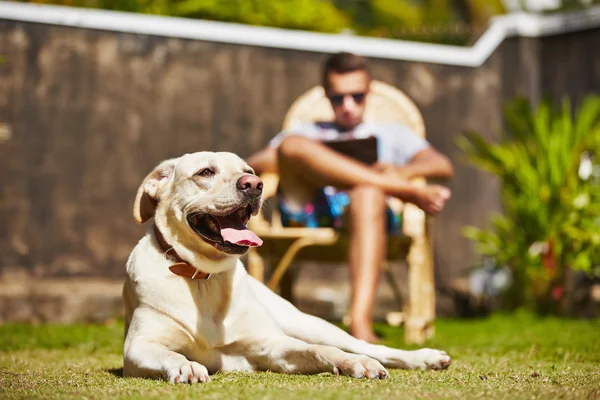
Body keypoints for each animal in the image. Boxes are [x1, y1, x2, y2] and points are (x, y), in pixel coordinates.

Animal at [122, 152, 450, 382]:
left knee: (365, 346)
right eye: (205, 172)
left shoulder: (271, 345)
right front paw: (187, 366)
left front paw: (353, 363)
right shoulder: (137, 348)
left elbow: (321, 351)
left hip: (311, 324)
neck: (204, 278)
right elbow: (170, 354)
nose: (254, 185)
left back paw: (425, 357)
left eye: (249, 172)